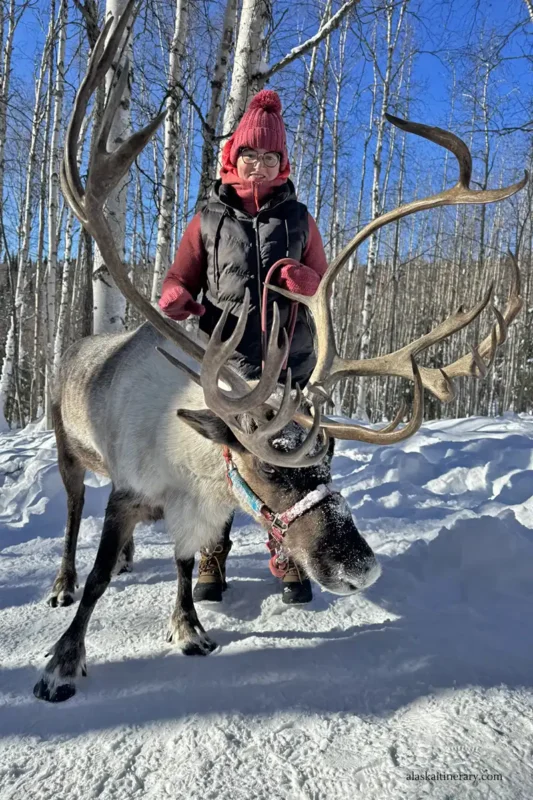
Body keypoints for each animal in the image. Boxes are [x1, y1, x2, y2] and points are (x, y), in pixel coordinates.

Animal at [33, 0, 526, 703]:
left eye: (330, 464)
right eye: (270, 467)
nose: (362, 568)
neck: (189, 463)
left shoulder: (195, 508)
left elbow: (182, 565)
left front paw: (188, 628)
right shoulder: (128, 490)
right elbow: (99, 577)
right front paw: (62, 663)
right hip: (67, 448)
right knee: (74, 521)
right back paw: (61, 582)